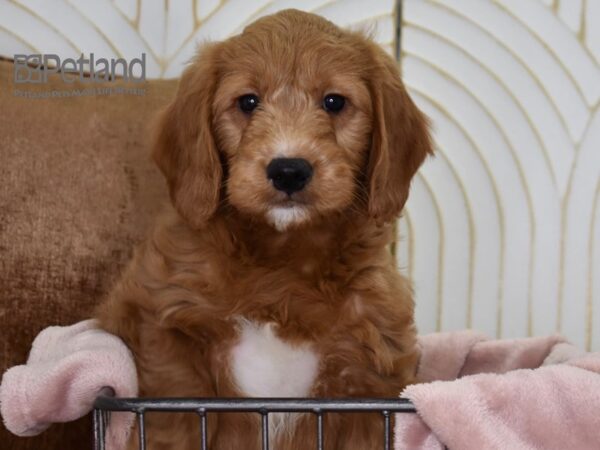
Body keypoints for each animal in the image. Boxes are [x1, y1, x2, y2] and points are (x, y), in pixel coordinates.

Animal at [96, 7, 432, 450]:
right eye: (248, 102)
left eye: (334, 102)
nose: (289, 170)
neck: (282, 260)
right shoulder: (162, 329)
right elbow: (176, 421)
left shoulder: (371, 378)